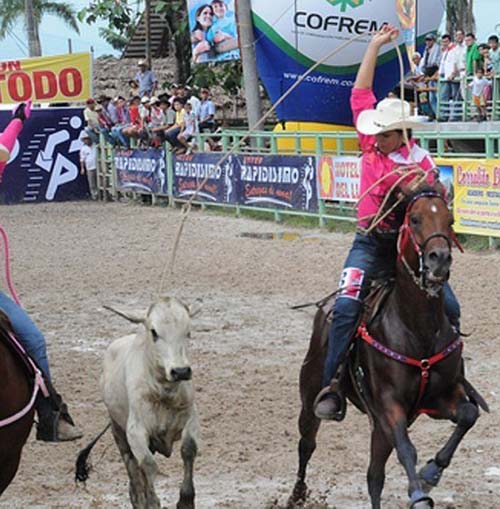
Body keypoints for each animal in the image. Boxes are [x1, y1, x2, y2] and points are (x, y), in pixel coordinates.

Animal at [290, 187, 488, 508]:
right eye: (415, 219)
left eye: (450, 220)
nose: (440, 260)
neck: (417, 328)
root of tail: (327, 305)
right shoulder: (388, 406)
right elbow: (407, 449)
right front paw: (419, 493)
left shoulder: (439, 398)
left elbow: (469, 415)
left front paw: (430, 474)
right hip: (311, 397)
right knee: (307, 443)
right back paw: (296, 495)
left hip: (379, 428)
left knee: (374, 476)